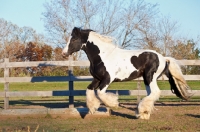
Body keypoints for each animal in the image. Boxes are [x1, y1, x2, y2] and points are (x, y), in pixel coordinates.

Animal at [62, 26, 192, 119]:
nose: (63, 53)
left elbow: (100, 93)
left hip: (150, 77)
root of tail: (164, 58)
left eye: (74, 39)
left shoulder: (108, 79)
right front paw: (93, 108)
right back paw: (143, 113)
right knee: (151, 93)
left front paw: (114, 104)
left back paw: (142, 112)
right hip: (146, 79)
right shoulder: (97, 78)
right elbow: (89, 90)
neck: (103, 56)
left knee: (155, 92)